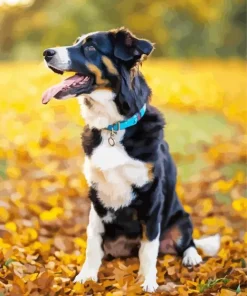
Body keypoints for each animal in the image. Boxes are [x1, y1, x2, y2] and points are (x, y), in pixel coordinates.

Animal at [42, 28, 220, 294]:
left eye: (91, 47)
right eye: (76, 42)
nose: (47, 52)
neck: (113, 128)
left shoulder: (152, 198)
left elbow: (148, 249)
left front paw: (147, 281)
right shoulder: (96, 196)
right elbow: (92, 243)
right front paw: (86, 276)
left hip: (181, 219)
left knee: (187, 242)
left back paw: (192, 257)